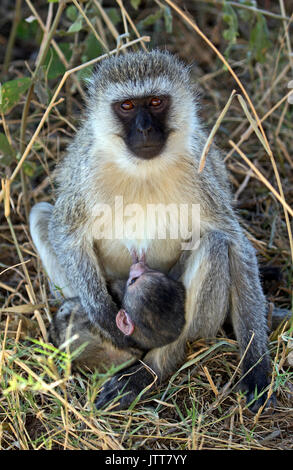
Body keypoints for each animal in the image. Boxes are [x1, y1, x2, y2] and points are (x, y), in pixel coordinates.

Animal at [30, 48, 272, 412]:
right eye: (128, 106)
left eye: (156, 102)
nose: (144, 129)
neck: (142, 171)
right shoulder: (86, 176)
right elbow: (66, 234)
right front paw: (105, 317)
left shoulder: (200, 173)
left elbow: (235, 242)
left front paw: (256, 367)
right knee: (40, 215)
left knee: (214, 245)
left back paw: (151, 368)